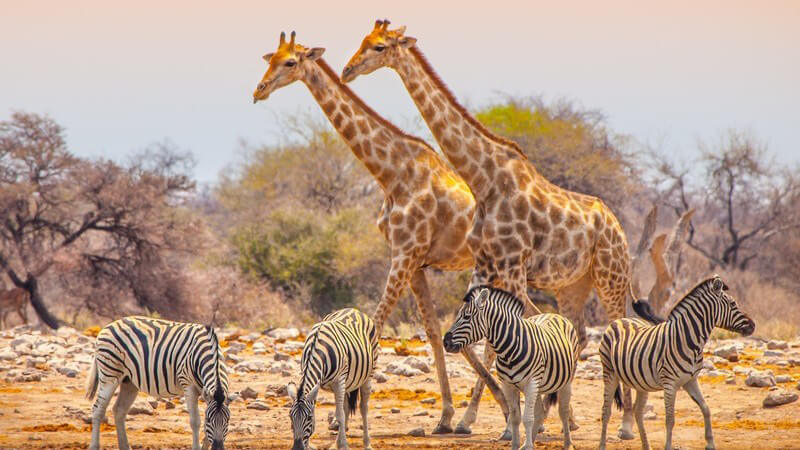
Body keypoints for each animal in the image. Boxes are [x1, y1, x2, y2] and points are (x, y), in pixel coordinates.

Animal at [86, 316, 230, 450]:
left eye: (227, 421)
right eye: (209, 420)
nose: (218, 448)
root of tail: (109, 325)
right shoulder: (188, 385)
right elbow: (195, 421)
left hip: (129, 381)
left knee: (119, 410)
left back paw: (125, 446)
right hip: (109, 374)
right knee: (98, 409)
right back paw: (94, 446)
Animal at [287, 308, 378, 450]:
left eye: (309, 418)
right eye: (291, 417)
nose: (297, 448)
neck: (317, 348)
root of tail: (353, 309)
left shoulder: (339, 381)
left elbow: (339, 415)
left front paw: (344, 445)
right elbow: (339, 412)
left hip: (368, 375)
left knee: (363, 408)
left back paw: (367, 443)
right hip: (348, 382)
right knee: (346, 407)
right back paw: (337, 442)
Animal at [443, 286, 579, 450]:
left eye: (467, 317)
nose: (445, 342)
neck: (508, 350)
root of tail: (553, 314)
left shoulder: (531, 383)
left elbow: (527, 418)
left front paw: (528, 446)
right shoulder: (508, 385)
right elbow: (515, 418)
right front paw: (517, 445)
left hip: (565, 380)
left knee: (562, 411)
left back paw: (568, 444)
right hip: (539, 386)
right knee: (540, 413)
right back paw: (529, 443)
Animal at [598, 274, 755, 450]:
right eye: (733, 304)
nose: (753, 325)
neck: (689, 340)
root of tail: (620, 320)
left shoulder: (691, 380)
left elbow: (706, 408)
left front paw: (710, 443)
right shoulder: (670, 383)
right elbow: (670, 419)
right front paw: (668, 446)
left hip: (640, 382)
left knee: (637, 411)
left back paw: (646, 446)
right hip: (609, 373)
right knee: (606, 412)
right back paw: (602, 445)